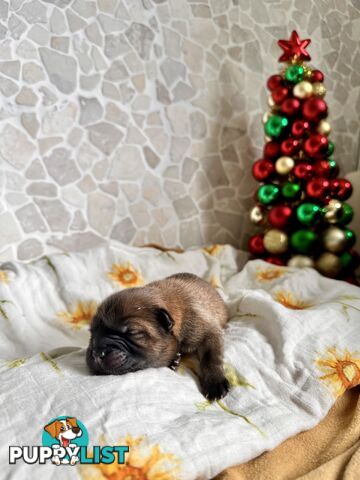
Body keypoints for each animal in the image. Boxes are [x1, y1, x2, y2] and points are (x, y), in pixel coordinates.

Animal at [86, 274, 229, 402]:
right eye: (92, 332)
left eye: (132, 332)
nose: (97, 353)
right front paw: (173, 360)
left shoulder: (208, 332)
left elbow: (211, 357)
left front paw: (215, 382)